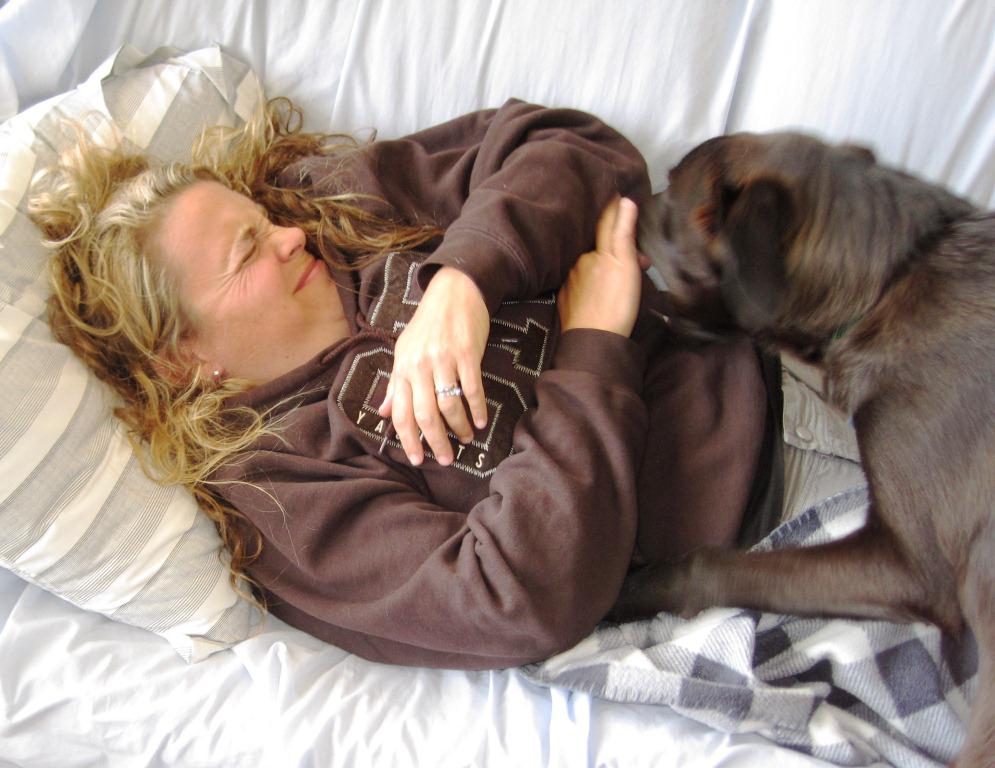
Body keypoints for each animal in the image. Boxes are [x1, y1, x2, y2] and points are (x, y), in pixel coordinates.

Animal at [614, 131, 995, 767]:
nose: (628, 198)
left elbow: (715, 563)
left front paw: (629, 590)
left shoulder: (910, 566)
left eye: (671, 189)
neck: (887, 281)